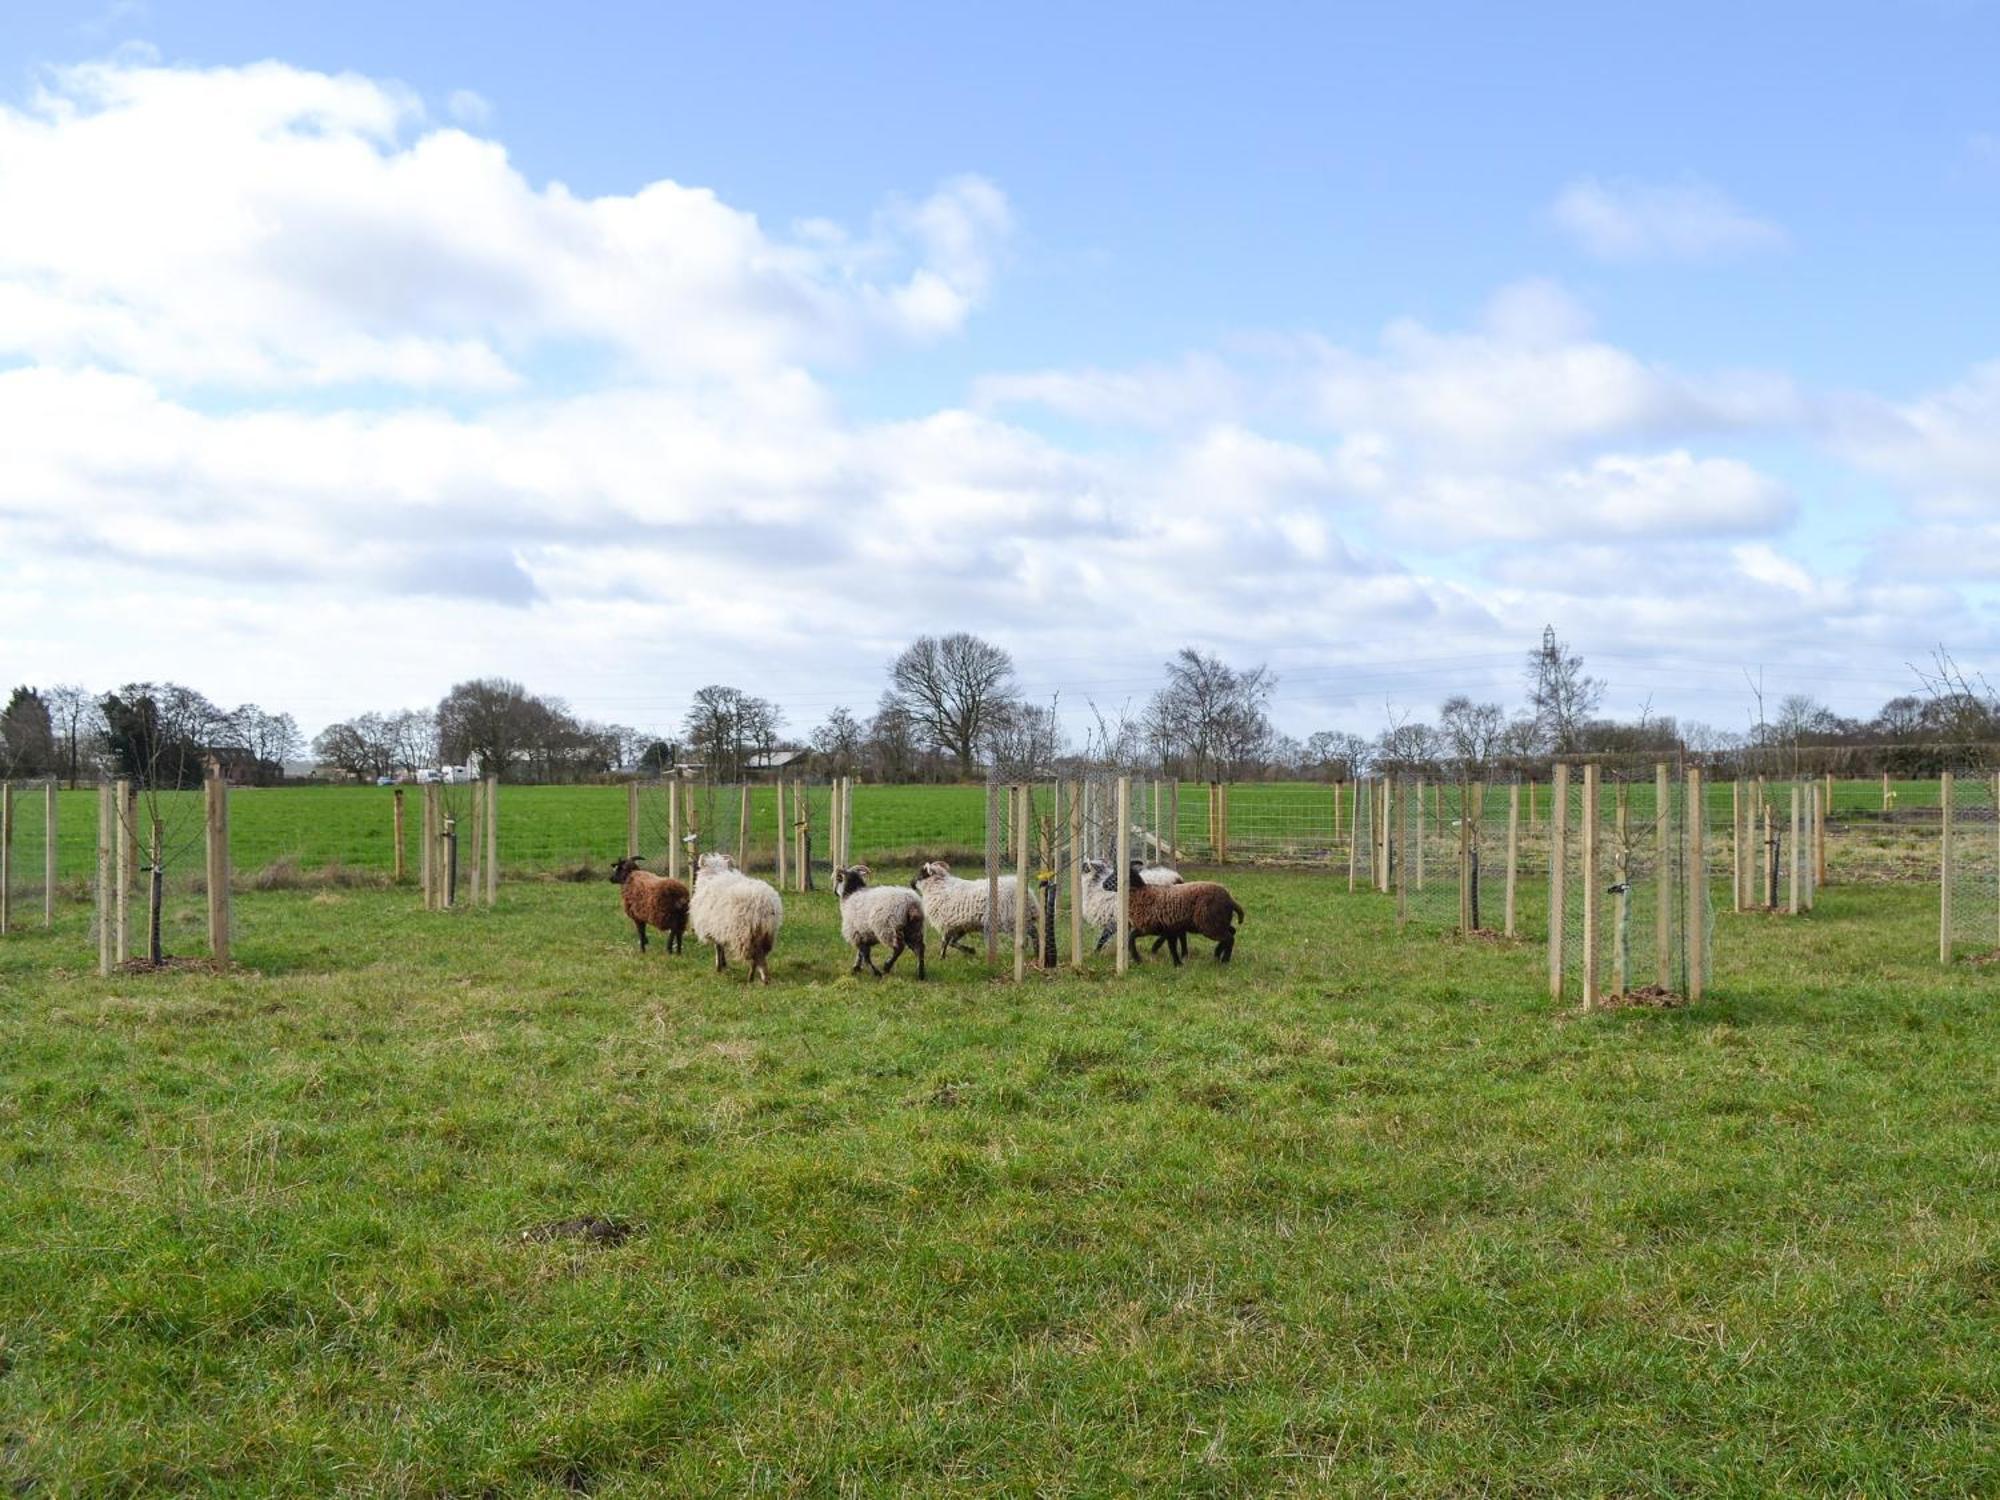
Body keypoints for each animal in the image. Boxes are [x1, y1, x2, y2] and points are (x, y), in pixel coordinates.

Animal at [688, 856, 780, 988]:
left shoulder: (714, 928)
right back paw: (762, 977)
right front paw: (724, 963)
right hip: (767, 934)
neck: (714, 875)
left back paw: (753, 978)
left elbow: (718, 947)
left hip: (745, 933)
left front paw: (719, 967)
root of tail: (764, 903)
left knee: (756, 957)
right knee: (761, 956)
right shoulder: (719, 928)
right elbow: (721, 947)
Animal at [1104, 864, 1240, 968]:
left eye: (1116, 875)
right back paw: (1217, 954)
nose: (1104, 885)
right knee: (1231, 932)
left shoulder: (1149, 927)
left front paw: (1138, 958)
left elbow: (1131, 937)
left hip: (1209, 924)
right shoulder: (1165, 928)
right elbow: (1171, 946)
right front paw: (1177, 963)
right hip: (1219, 921)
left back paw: (1224, 960)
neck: (1140, 892)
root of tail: (1230, 900)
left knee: (1229, 938)